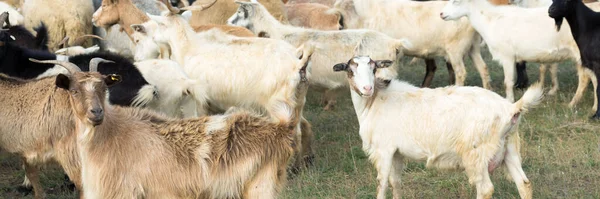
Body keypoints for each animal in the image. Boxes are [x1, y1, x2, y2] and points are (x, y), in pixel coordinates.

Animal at [336, 55, 540, 199]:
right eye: (350, 70)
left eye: (373, 68)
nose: (367, 88)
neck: (375, 102)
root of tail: (510, 108)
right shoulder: (396, 152)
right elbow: (396, 183)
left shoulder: (383, 150)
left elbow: (382, 184)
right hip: (510, 148)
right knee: (524, 184)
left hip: (476, 153)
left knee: (485, 189)